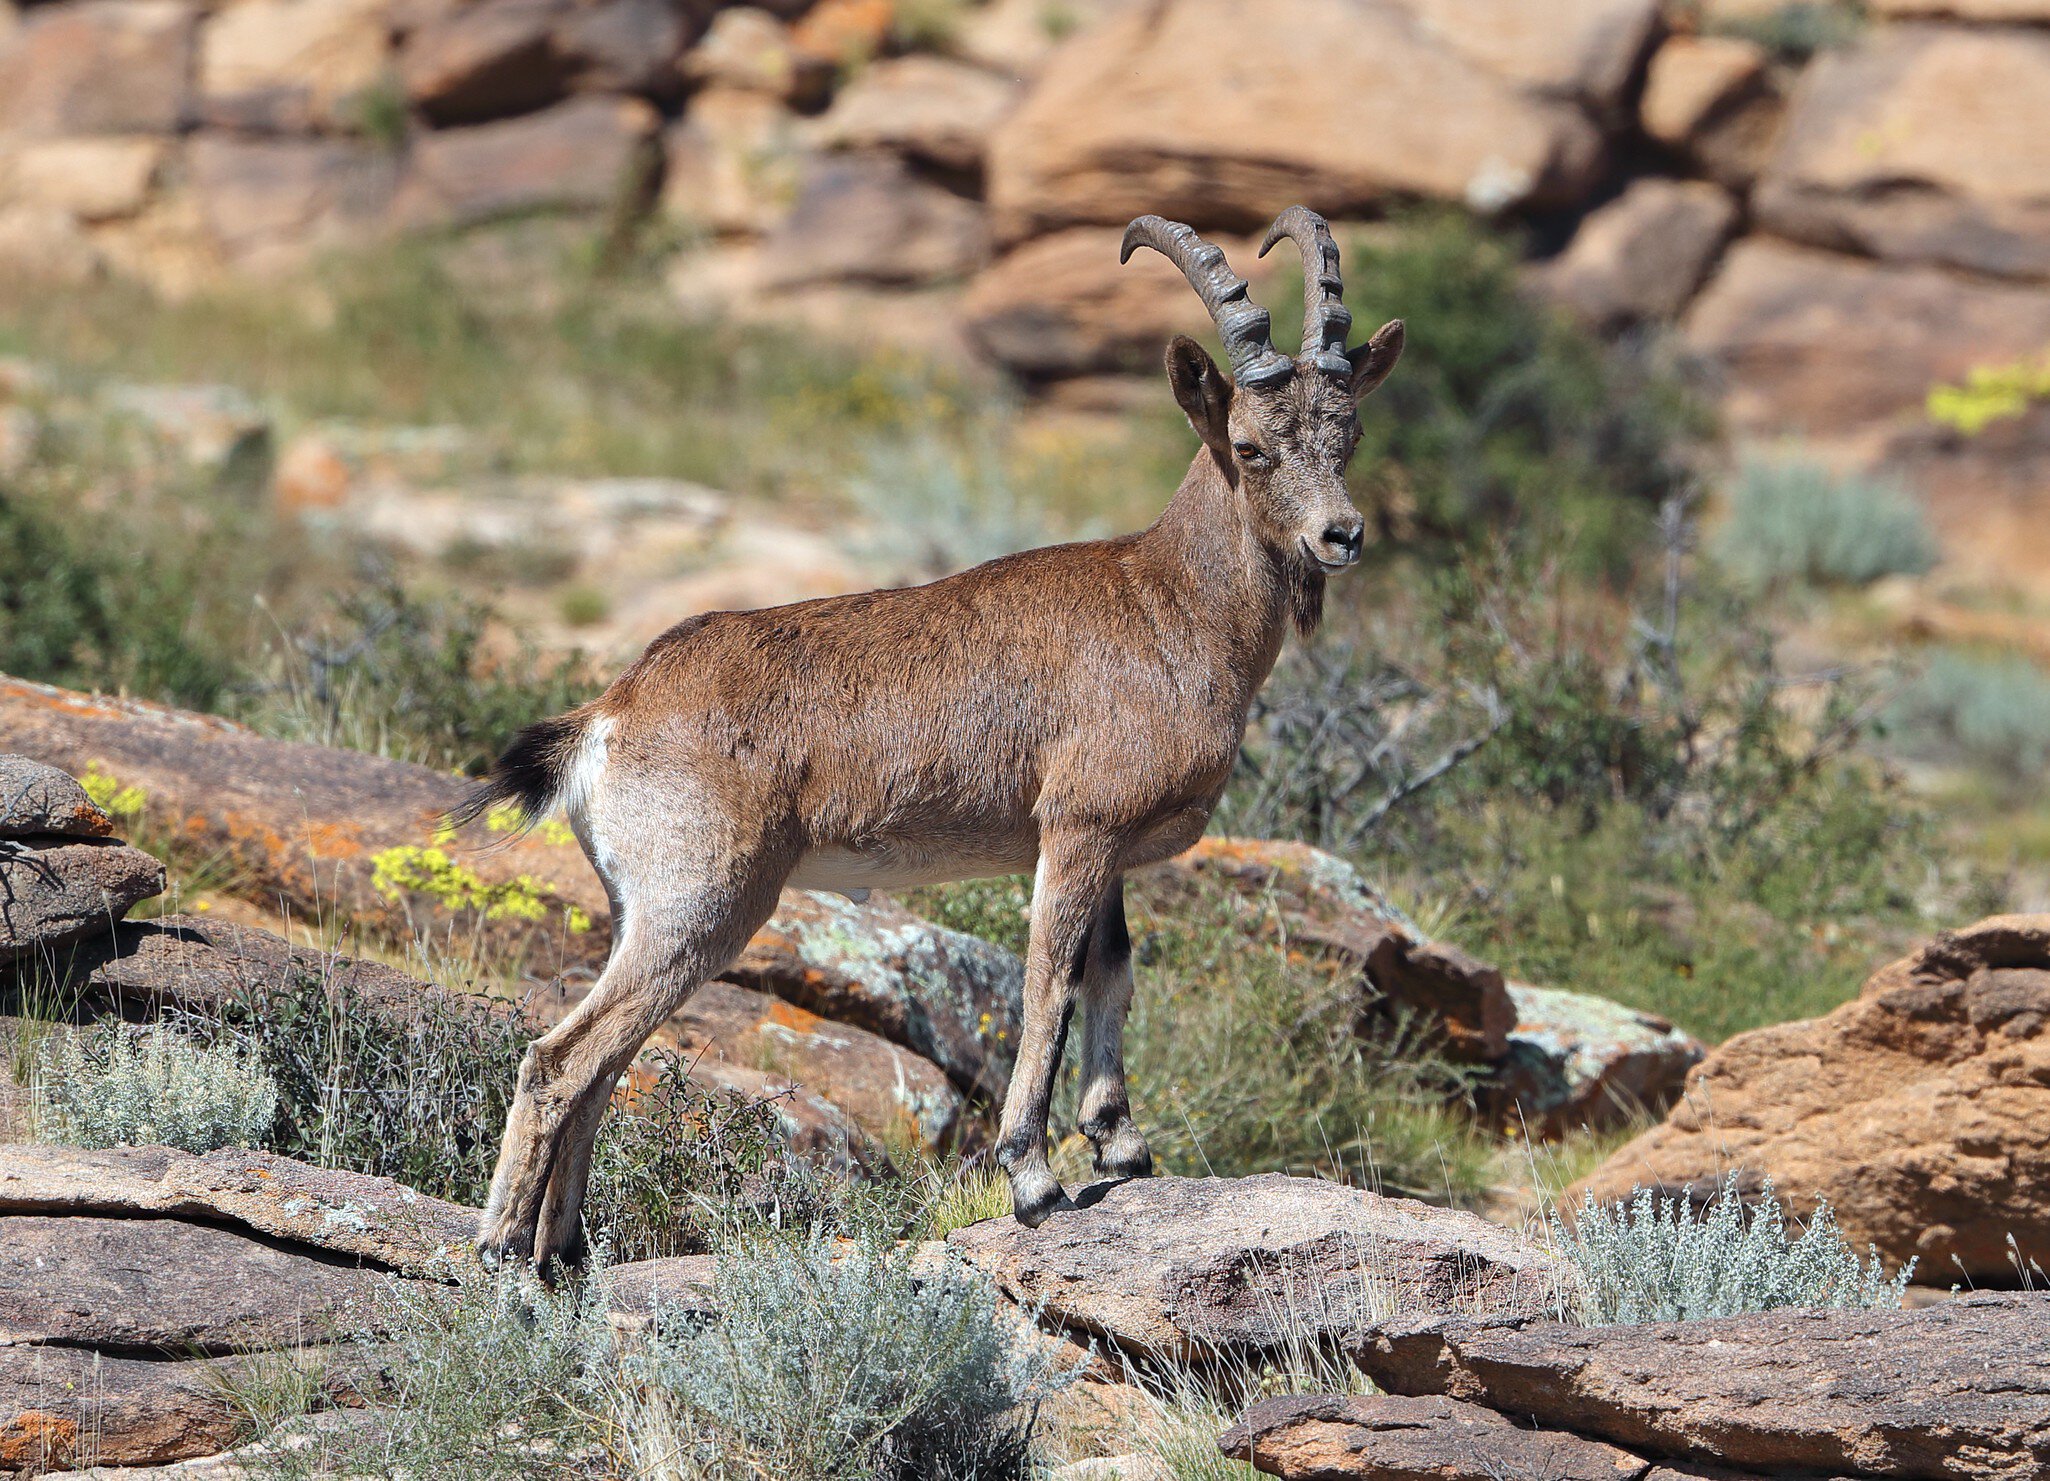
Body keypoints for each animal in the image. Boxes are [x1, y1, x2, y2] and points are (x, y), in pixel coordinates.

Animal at [455, 206, 1404, 1267]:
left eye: (1351, 430)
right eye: (1248, 444)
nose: (1342, 535)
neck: (1172, 604)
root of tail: (612, 713)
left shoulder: (1105, 846)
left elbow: (1111, 975)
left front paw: (1120, 1145)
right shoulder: (1077, 828)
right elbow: (1049, 982)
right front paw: (1033, 1176)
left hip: (645, 913)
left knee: (600, 1068)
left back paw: (564, 1256)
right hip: (700, 903)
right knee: (558, 1059)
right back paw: (501, 1252)